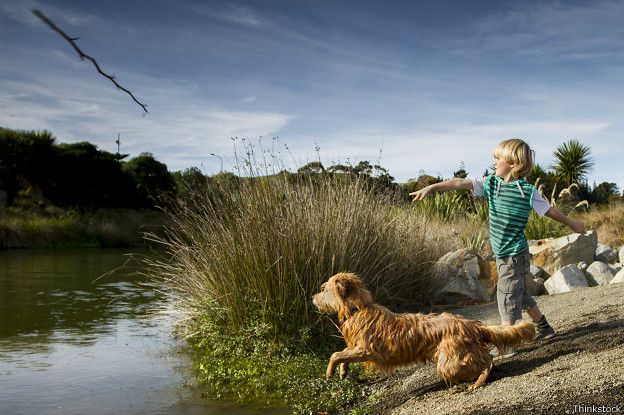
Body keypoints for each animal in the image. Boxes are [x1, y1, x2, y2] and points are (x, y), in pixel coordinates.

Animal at [312, 272, 536, 390]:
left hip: (450, 362)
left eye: (324, 290)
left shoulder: (367, 350)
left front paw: (329, 372)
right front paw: (343, 371)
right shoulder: (357, 348)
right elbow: (344, 354)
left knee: (486, 363)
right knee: (485, 359)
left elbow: (335, 354)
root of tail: (472, 325)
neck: (358, 308)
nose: (313, 298)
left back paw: (477, 381)